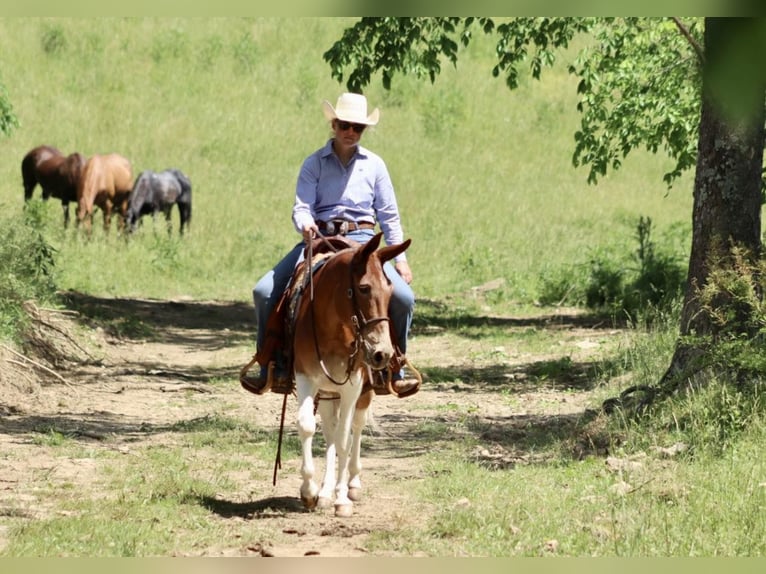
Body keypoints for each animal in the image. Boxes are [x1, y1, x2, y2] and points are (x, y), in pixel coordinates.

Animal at [294, 232, 414, 520]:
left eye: (390, 290)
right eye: (363, 288)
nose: (382, 353)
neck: (332, 328)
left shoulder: (353, 386)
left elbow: (344, 439)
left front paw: (342, 499)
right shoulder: (306, 377)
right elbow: (308, 426)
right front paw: (310, 492)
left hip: (364, 393)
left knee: (355, 428)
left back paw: (353, 485)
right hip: (328, 392)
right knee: (329, 429)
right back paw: (325, 491)